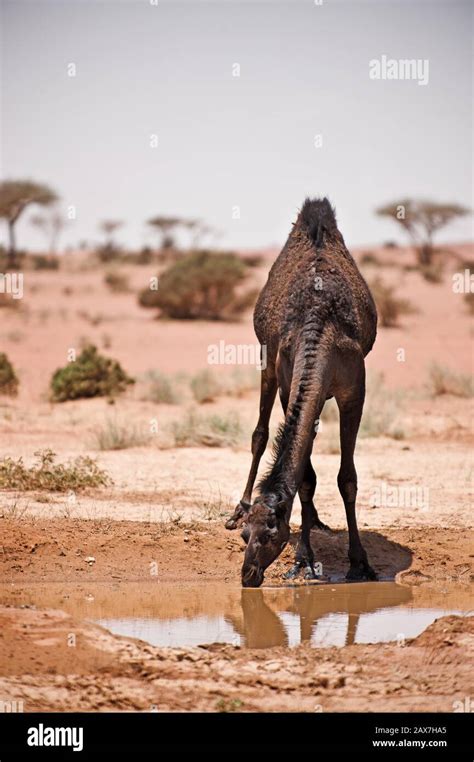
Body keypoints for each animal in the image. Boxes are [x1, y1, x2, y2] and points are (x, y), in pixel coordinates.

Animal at [226, 197, 378, 588]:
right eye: (245, 536)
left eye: (271, 533)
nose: (248, 575)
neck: (319, 325)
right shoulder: (286, 381)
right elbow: (306, 479)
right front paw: (304, 560)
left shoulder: (354, 392)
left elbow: (347, 479)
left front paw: (360, 563)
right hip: (266, 361)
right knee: (259, 434)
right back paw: (238, 507)